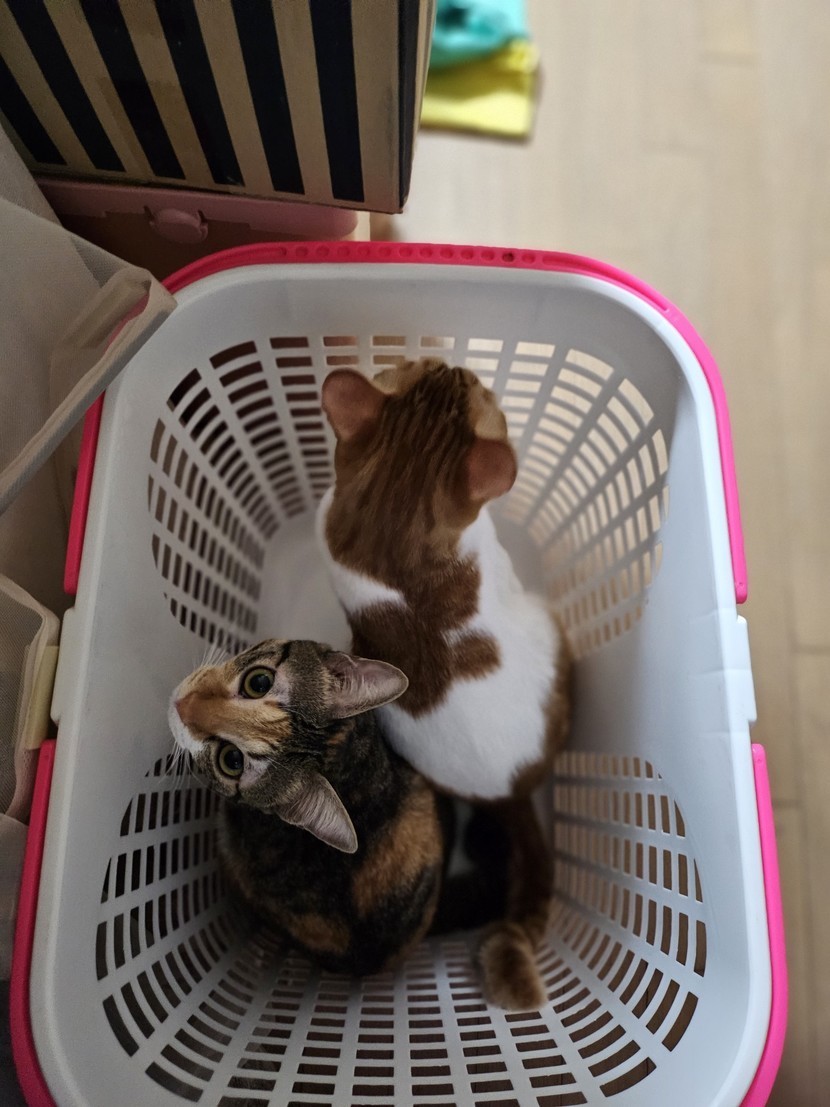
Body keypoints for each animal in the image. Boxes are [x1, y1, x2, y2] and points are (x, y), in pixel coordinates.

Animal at [317, 358, 572, 1010]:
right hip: (551, 634)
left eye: (412, 366)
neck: (394, 523)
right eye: (485, 396)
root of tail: (509, 792)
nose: (459, 363)